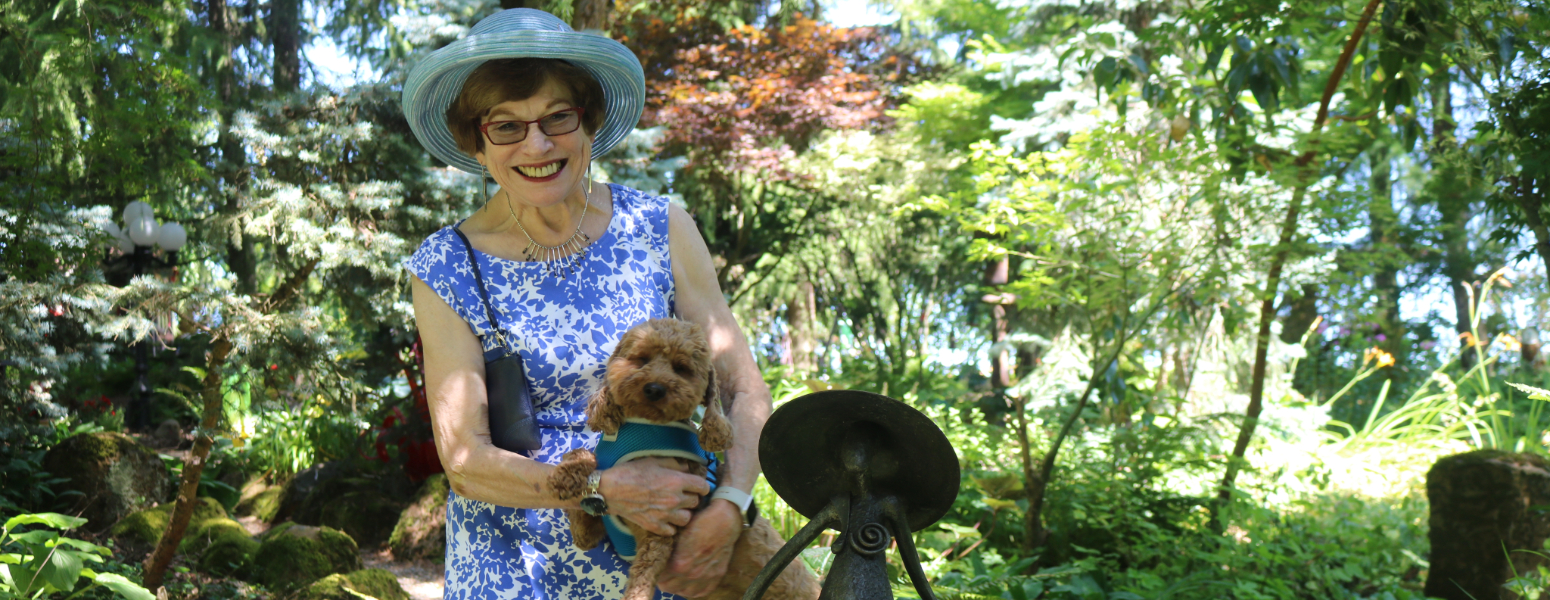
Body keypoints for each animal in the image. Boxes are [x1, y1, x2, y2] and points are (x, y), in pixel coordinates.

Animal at [551, 319, 830, 600]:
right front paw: (567, 474)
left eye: (681, 368)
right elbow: (583, 466)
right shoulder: (590, 534)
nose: (654, 389)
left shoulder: (661, 530)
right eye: (641, 359)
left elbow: (641, 579)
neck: (646, 426)